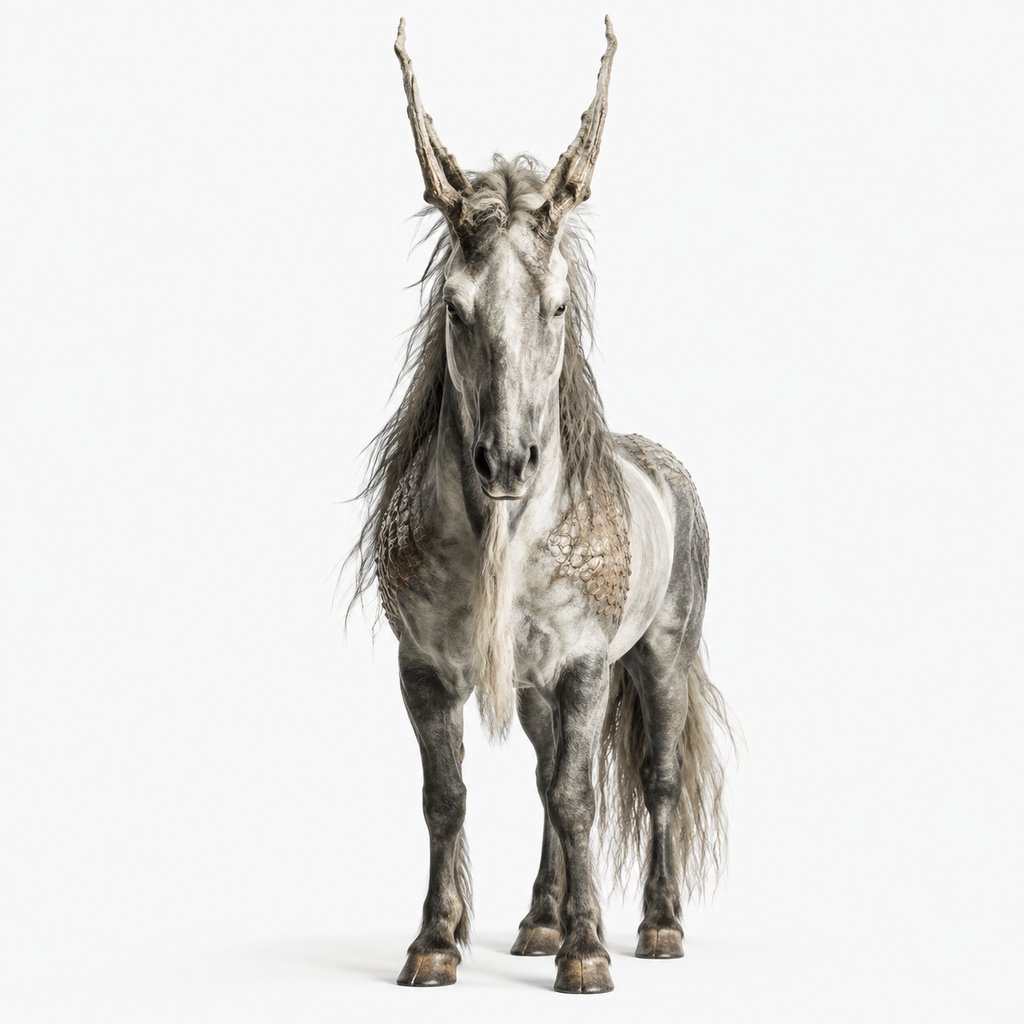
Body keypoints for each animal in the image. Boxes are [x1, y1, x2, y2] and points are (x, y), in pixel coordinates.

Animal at [349, 18, 731, 994]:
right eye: (454, 306)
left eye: (556, 307)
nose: (507, 461)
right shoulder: (425, 670)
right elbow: (447, 795)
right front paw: (437, 942)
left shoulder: (588, 667)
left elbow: (581, 795)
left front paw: (589, 955)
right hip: (532, 690)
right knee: (546, 774)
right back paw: (537, 922)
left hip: (663, 658)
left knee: (651, 779)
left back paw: (659, 927)